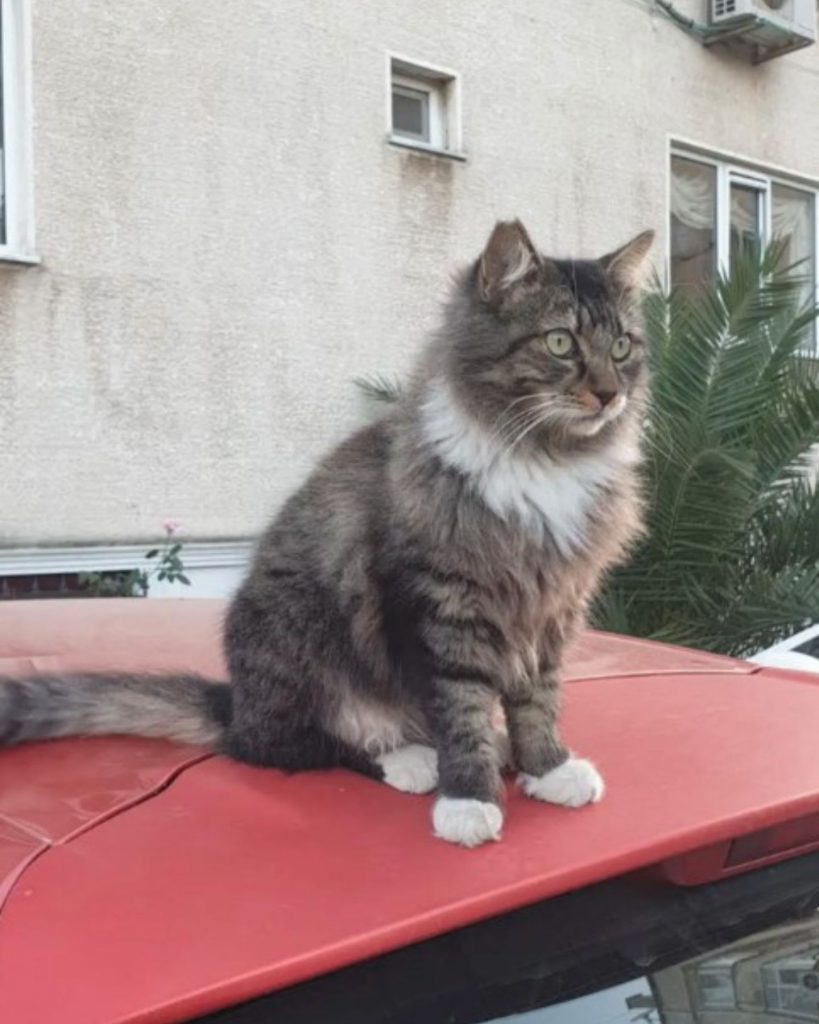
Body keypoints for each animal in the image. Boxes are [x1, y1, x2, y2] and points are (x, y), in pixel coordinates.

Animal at [0, 222, 651, 847]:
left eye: (622, 346)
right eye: (560, 342)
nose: (609, 394)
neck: (544, 461)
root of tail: (236, 705)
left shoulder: (551, 607)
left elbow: (538, 700)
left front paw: (547, 766)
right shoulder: (445, 604)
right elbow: (460, 710)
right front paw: (469, 799)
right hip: (296, 636)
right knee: (295, 746)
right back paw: (411, 760)